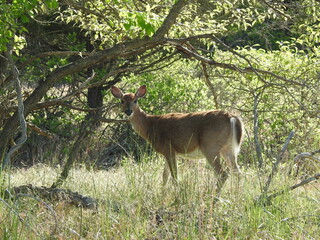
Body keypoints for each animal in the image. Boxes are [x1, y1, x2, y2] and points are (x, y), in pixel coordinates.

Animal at [111, 85, 244, 194]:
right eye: (122, 101)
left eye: (136, 100)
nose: (128, 111)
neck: (150, 125)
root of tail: (232, 118)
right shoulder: (169, 152)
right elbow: (165, 176)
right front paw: (162, 193)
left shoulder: (168, 148)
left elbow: (174, 176)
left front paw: (176, 195)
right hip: (229, 149)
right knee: (237, 173)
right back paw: (237, 194)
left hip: (210, 146)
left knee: (223, 174)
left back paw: (214, 196)